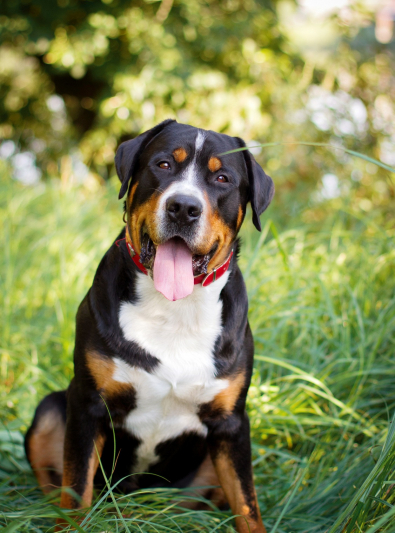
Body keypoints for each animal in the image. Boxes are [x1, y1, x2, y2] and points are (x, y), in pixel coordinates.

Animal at [24, 120, 276, 532]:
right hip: (51, 409)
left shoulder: (232, 425)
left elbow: (247, 504)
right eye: (163, 164)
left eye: (222, 177)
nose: (184, 207)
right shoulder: (88, 405)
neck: (174, 309)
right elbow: (75, 489)